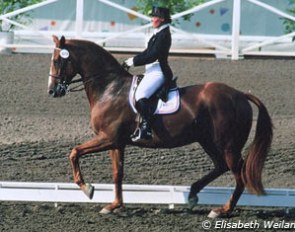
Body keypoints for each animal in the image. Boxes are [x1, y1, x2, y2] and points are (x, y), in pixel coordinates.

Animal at [48, 35, 272, 218]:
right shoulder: (117, 142)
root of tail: (240, 95)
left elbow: (74, 152)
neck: (110, 88)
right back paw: (193, 194)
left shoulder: (108, 138)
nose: (52, 91)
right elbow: (117, 173)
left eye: (57, 60)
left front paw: (87, 189)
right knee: (221, 166)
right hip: (208, 141)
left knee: (239, 174)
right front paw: (114, 205)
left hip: (228, 145)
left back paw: (221, 210)